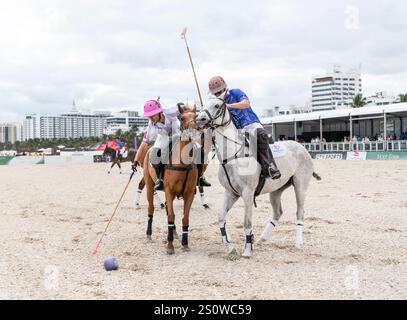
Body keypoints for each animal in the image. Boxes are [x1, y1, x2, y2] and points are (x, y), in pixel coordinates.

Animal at [144, 104, 200, 254]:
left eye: (196, 116)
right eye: (182, 117)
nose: (193, 132)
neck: (183, 162)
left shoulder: (189, 193)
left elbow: (185, 217)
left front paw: (185, 243)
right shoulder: (169, 190)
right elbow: (171, 216)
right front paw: (170, 246)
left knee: (167, 207)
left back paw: (174, 233)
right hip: (149, 185)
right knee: (151, 208)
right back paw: (149, 234)